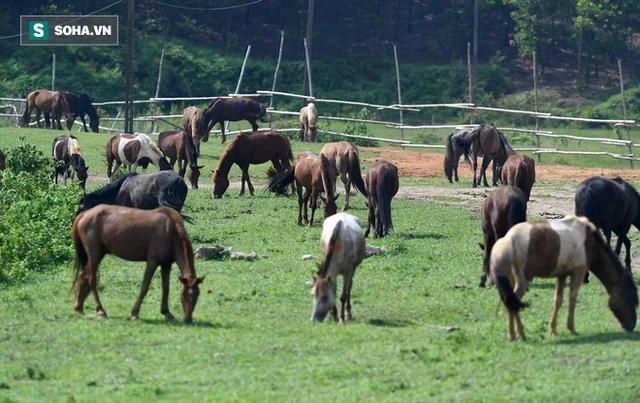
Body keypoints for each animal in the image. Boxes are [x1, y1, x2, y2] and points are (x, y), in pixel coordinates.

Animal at [71, 207, 204, 324]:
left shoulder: (166, 264)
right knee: (91, 279)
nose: (188, 319)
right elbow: (145, 287)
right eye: (183, 294)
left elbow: (166, 288)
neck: (169, 230)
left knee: (83, 276)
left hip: (98, 255)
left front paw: (166, 312)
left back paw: (79, 308)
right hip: (94, 254)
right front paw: (135, 313)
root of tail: (83, 214)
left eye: (197, 295)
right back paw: (100, 311)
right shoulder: (152, 261)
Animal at [490, 216, 636, 342]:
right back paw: (517, 334)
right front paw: (572, 329)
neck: (589, 242)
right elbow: (572, 299)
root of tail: (507, 239)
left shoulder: (562, 275)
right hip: (523, 280)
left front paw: (553, 330)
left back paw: (515, 334)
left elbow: (558, 301)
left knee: (510, 302)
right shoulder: (578, 272)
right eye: (630, 299)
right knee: (513, 303)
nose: (631, 326)